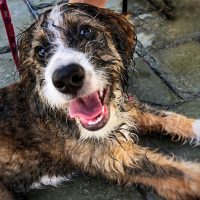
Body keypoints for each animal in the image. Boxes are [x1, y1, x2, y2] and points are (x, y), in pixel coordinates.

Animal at [0, 3, 200, 200]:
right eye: (40, 51)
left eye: (85, 31)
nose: (66, 77)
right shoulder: (116, 158)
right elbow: (178, 172)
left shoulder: (127, 107)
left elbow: (166, 116)